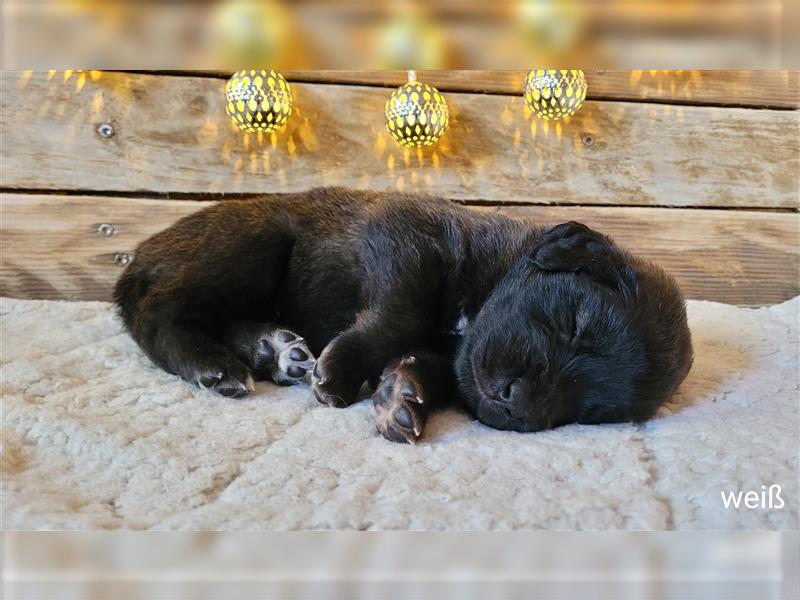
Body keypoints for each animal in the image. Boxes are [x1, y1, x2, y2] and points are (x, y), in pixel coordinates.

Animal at [114, 190, 692, 442]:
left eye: (593, 411)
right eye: (575, 320)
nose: (516, 401)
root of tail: (141, 252)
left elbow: (423, 362)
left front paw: (400, 398)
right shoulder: (406, 238)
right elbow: (401, 313)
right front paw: (343, 371)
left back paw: (277, 351)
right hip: (254, 244)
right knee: (158, 310)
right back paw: (211, 365)